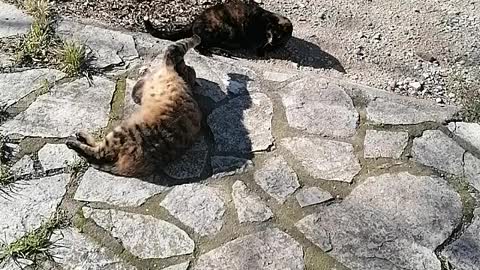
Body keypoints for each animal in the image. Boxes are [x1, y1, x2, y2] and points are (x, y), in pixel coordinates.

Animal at [66, 35, 202, 177]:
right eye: (189, 70)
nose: (188, 66)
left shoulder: (173, 52)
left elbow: (186, 42)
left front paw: (197, 38)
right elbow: (137, 90)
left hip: (123, 132)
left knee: (98, 155)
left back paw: (73, 142)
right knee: (98, 151)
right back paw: (81, 137)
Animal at [142, 0, 292, 56]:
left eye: (278, 36)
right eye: (270, 33)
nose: (272, 40)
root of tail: (195, 20)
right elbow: (260, 45)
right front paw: (262, 50)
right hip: (227, 30)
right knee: (199, 44)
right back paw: (213, 51)